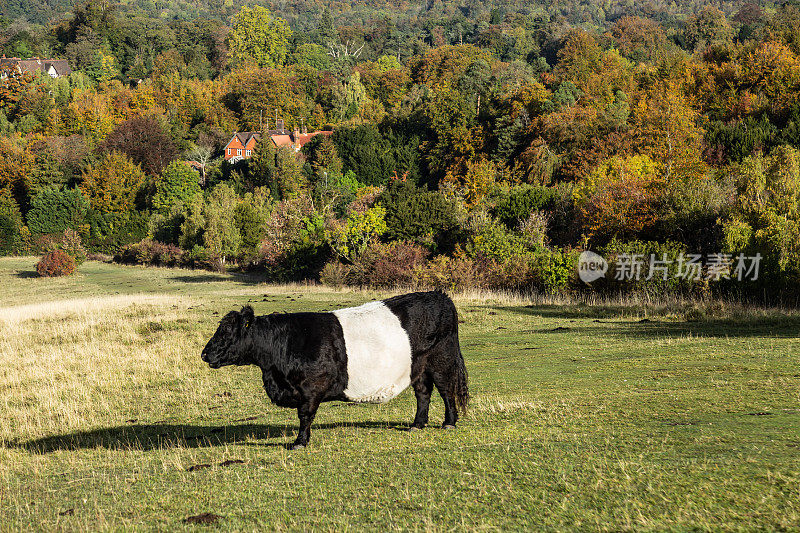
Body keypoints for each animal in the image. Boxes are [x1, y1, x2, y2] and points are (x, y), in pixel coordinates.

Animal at [200, 290, 472, 448]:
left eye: (226, 332)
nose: (204, 354)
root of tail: (440, 295)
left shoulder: (311, 387)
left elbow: (305, 415)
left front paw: (299, 442)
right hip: (418, 366)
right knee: (423, 392)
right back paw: (417, 424)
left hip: (441, 360)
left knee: (446, 390)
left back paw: (449, 423)